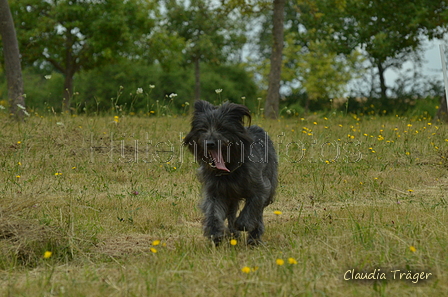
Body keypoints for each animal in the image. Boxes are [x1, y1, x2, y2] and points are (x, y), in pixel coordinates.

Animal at [185, 100, 276, 244]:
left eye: (222, 128)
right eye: (203, 129)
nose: (209, 143)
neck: (228, 171)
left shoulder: (261, 187)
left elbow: (253, 205)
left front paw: (244, 223)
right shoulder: (214, 192)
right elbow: (212, 211)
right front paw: (215, 232)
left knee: (258, 214)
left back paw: (254, 238)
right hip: (231, 197)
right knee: (231, 214)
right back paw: (233, 234)